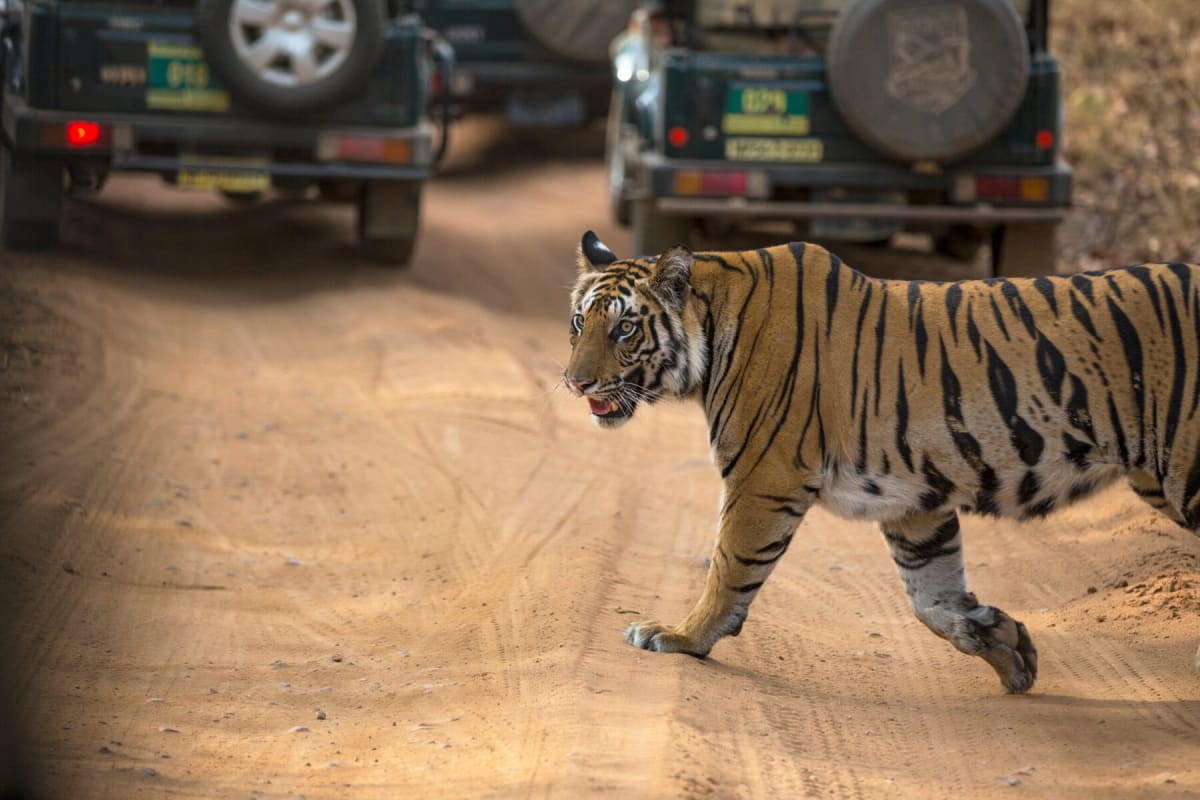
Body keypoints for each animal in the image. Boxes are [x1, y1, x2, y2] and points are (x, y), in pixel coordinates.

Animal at [564, 230, 1200, 693]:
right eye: (578, 322)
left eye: (625, 328)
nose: (575, 383)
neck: (714, 329)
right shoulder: (915, 500)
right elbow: (932, 597)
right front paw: (1005, 643)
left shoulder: (763, 477)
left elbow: (728, 568)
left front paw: (678, 636)